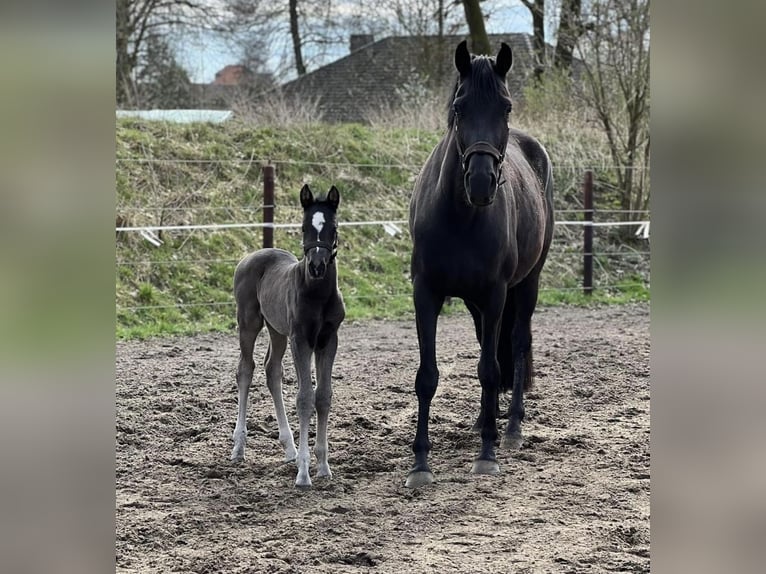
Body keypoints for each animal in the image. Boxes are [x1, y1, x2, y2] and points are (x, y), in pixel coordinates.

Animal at [230, 186, 346, 490]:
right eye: (304, 227)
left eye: (333, 228)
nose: (317, 266)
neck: (318, 294)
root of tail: (250, 256)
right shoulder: (301, 340)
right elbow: (304, 398)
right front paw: (304, 474)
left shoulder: (329, 339)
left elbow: (323, 396)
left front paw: (323, 466)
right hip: (249, 322)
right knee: (245, 370)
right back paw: (238, 447)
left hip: (277, 330)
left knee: (272, 370)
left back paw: (289, 448)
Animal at [408, 42, 560, 488]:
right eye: (459, 107)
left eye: (505, 108)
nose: (480, 182)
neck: (461, 216)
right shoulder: (426, 293)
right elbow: (428, 376)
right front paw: (420, 463)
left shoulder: (496, 295)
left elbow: (492, 370)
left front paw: (487, 454)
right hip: (477, 303)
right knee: (486, 345)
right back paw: (482, 419)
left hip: (526, 287)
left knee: (517, 344)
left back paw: (510, 427)